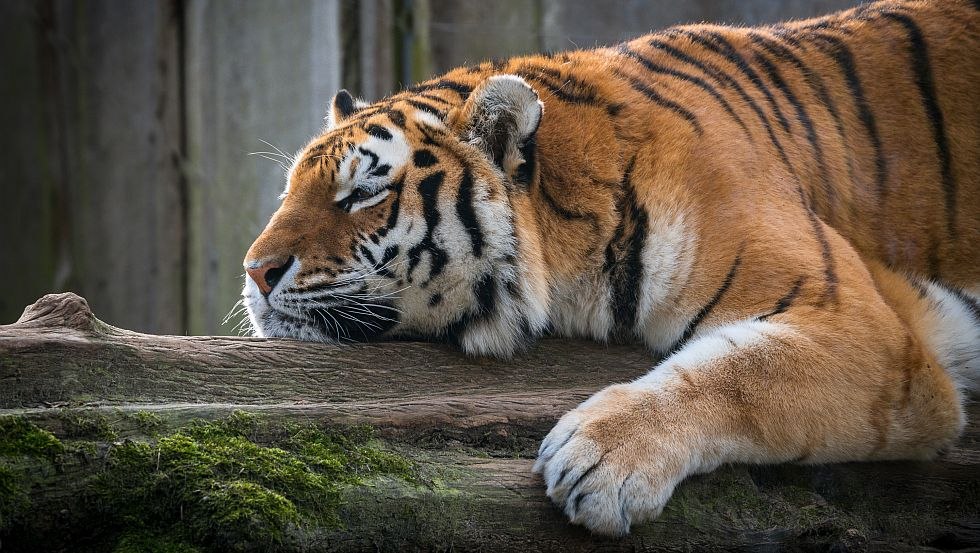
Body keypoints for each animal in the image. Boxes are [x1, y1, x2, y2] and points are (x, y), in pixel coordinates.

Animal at [241, 0, 976, 536]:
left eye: (363, 192)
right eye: (289, 191)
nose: (254, 272)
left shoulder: (869, 332)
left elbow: (744, 371)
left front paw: (599, 461)